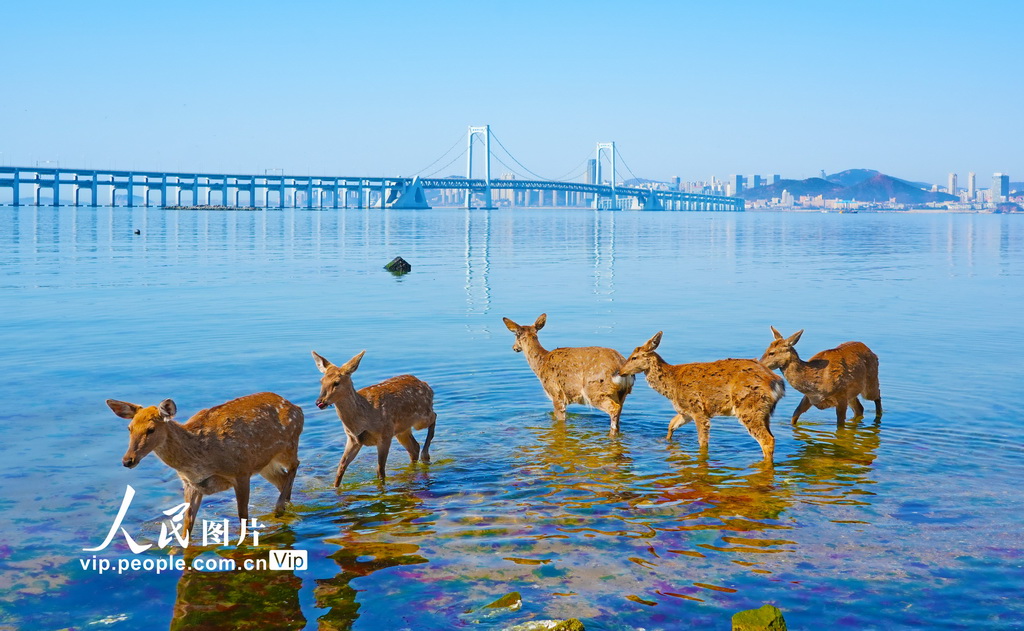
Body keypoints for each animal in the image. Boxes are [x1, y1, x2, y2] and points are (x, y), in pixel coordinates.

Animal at [105, 392, 303, 540]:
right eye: (130, 428)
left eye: (151, 429)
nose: (127, 460)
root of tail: (297, 408)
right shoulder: (191, 484)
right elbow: (187, 525)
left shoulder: (241, 471)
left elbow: (243, 517)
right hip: (264, 464)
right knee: (282, 479)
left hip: (288, 445)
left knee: (295, 465)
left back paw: (279, 507)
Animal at [312, 350, 436, 487]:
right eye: (321, 381)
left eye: (336, 382)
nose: (319, 402)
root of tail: (427, 386)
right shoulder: (353, 439)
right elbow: (341, 467)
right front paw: (334, 487)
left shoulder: (384, 435)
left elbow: (380, 470)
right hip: (401, 430)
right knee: (414, 448)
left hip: (420, 418)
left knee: (434, 416)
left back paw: (425, 456)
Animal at [502, 313, 634, 433]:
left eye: (515, 335)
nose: (514, 347)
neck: (541, 364)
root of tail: (620, 367)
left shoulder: (556, 393)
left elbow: (560, 420)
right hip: (622, 394)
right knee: (619, 411)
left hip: (595, 390)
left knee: (613, 409)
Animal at [617, 331, 784, 461]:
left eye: (634, 357)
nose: (620, 371)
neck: (672, 386)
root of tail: (776, 382)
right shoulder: (685, 411)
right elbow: (671, 425)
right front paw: (665, 442)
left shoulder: (698, 409)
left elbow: (703, 442)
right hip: (764, 412)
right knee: (772, 438)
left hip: (749, 407)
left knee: (767, 440)